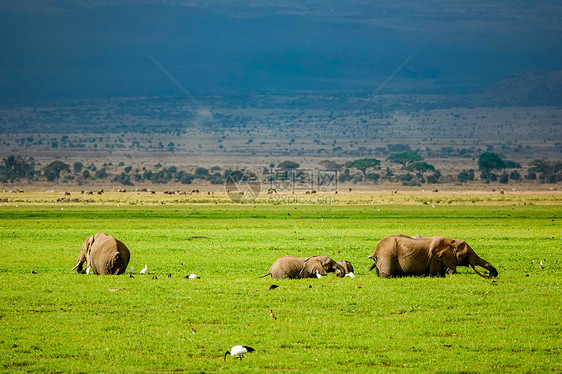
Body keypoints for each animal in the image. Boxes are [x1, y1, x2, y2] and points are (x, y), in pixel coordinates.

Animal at [368, 235, 498, 280]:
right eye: (467, 254)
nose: (491, 274)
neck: (450, 241)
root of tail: (376, 250)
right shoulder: (434, 258)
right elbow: (437, 275)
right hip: (387, 256)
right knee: (387, 275)